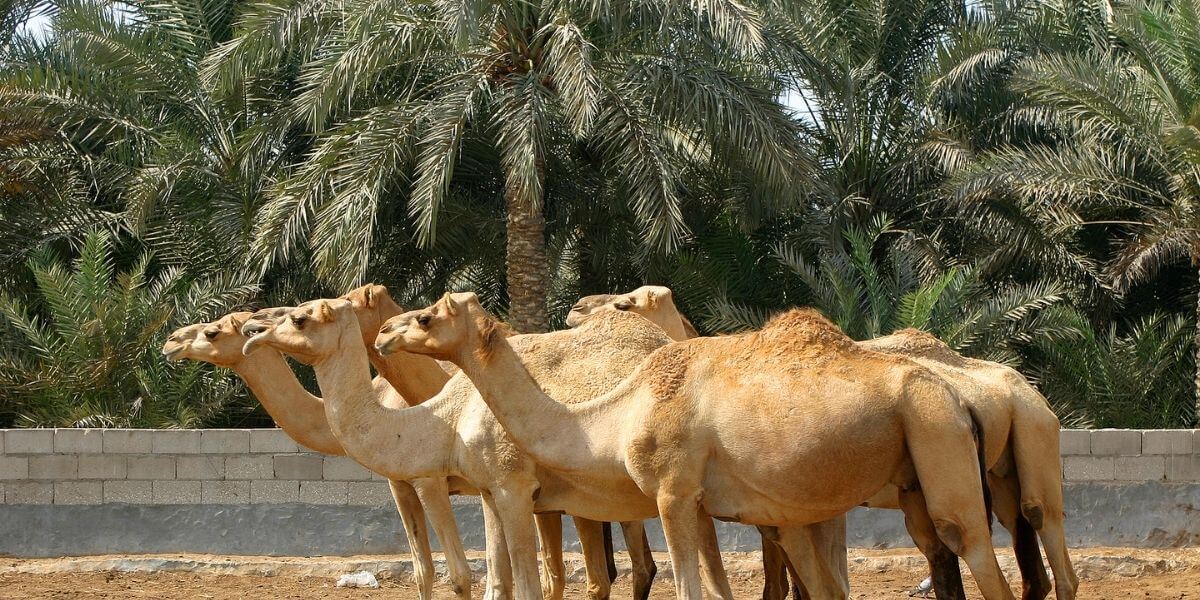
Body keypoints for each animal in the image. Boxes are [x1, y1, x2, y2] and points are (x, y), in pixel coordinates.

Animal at [158, 314, 472, 600]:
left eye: (212, 332)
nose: (171, 341)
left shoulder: (430, 480)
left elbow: (456, 571)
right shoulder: (399, 484)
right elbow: (423, 571)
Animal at [238, 296, 681, 600]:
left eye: (298, 317)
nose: (252, 330)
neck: (450, 418)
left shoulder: (512, 486)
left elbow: (513, 584)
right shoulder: (489, 490)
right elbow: (498, 582)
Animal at [381, 294, 1012, 600]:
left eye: (426, 316)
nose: (386, 333)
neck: (617, 414)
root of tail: (958, 398)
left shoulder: (673, 493)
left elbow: (689, 587)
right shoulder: (701, 504)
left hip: (936, 433)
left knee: (975, 550)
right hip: (914, 463)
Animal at [571, 286, 1080, 600]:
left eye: (625, 304)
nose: (576, 307)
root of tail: (1025, 392)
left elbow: (790, 580)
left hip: (1027, 437)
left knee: (1040, 528)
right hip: (992, 469)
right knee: (1009, 548)